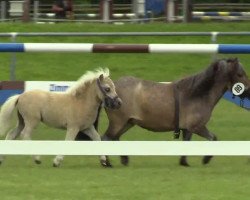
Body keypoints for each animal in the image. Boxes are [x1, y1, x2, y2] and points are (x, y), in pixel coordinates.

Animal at [77, 57, 249, 167]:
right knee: (106, 138)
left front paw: (184, 162)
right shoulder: (198, 127)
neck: (196, 93)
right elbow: (214, 138)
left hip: (128, 122)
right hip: (119, 122)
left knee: (115, 138)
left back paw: (124, 159)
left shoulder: (188, 129)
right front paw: (206, 159)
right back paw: (107, 162)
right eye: (240, 74)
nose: (248, 91)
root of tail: (109, 91)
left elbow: (187, 144)